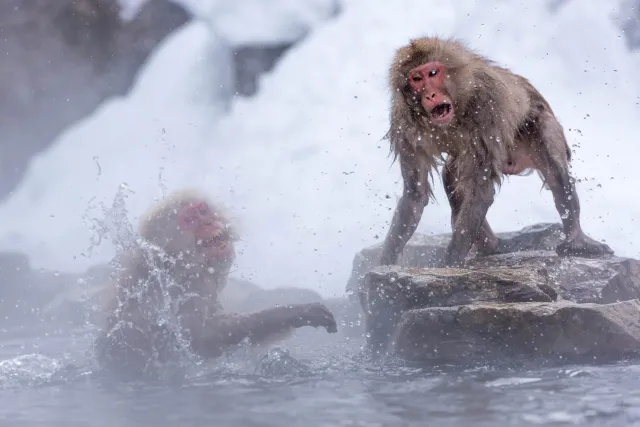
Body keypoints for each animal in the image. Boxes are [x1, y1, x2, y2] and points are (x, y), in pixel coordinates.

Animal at [94, 189, 340, 380]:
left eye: (203, 210)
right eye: (189, 219)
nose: (208, 222)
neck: (170, 257)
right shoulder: (190, 281)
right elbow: (201, 337)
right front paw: (297, 313)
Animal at [378, 38, 612, 270]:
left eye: (433, 73)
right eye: (416, 79)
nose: (430, 94)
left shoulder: (487, 106)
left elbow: (481, 189)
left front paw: (451, 263)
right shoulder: (404, 126)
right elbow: (415, 195)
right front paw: (385, 262)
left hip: (539, 127)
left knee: (555, 172)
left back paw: (576, 240)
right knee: (453, 179)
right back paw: (490, 246)